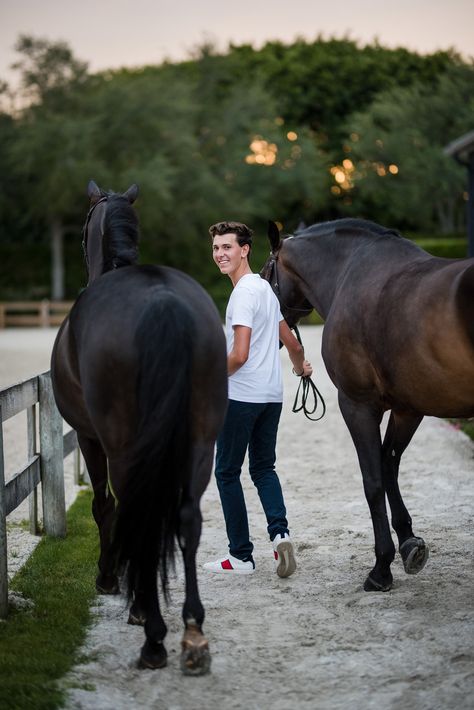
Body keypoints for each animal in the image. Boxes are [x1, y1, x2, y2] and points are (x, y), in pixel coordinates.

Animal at [50, 181, 228, 676]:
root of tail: (161, 302)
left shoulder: (90, 438)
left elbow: (104, 507)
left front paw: (110, 580)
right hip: (200, 442)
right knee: (187, 518)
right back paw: (191, 632)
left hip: (124, 445)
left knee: (135, 508)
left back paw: (152, 633)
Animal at [262, 218, 474, 596]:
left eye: (264, 273)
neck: (349, 273)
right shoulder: (407, 408)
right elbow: (389, 466)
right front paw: (409, 542)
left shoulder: (357, 405)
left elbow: (372, 480)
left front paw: (381, 568)